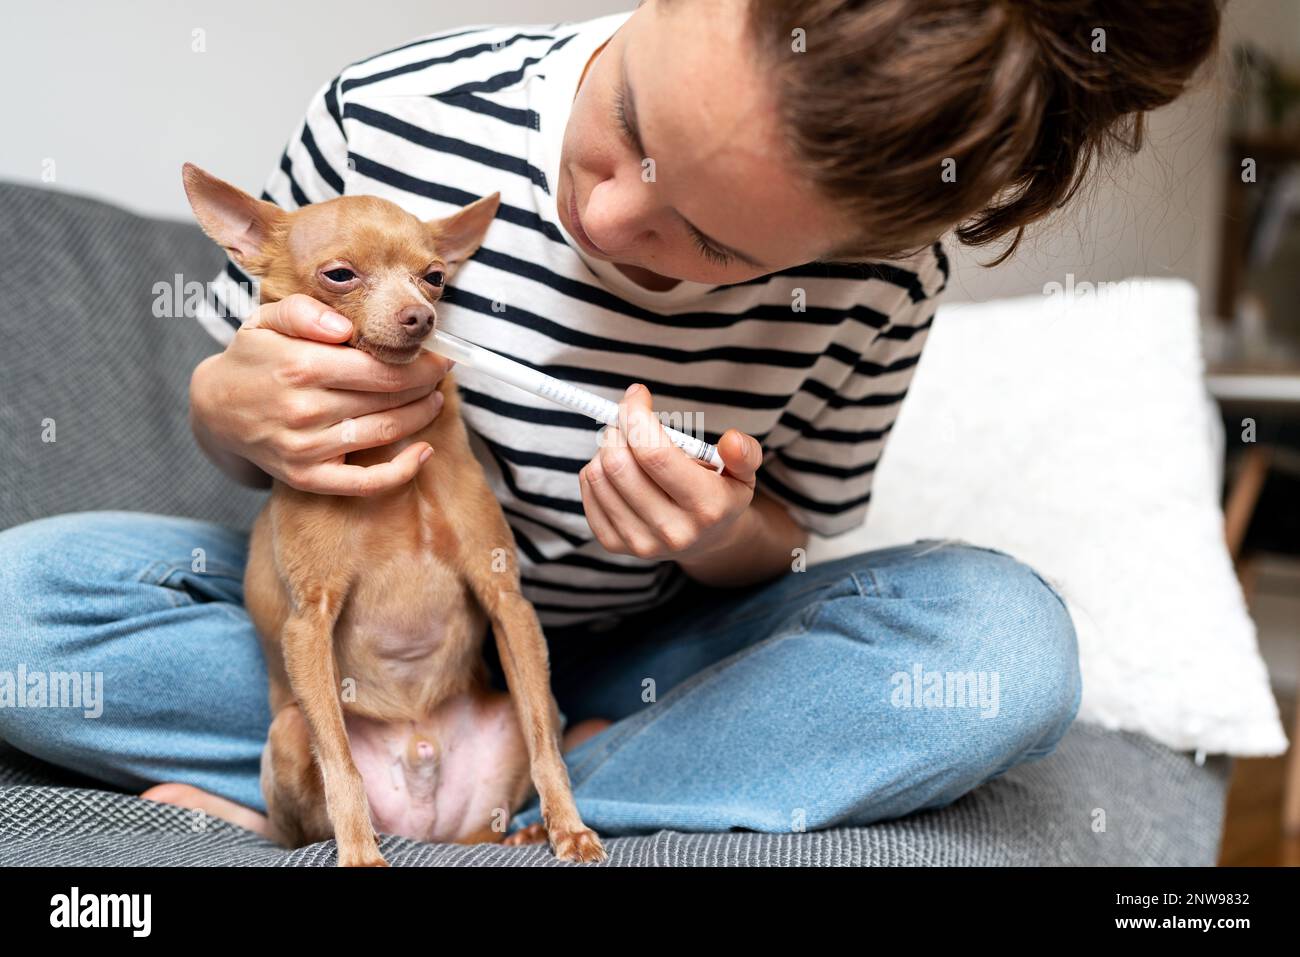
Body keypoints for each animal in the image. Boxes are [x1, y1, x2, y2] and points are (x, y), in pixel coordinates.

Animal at [182, 164, 603, 868]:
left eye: (434, 276)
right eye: (340, 275)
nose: (421, 316)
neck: (394, 457)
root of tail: (428, 826)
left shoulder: (507, 603)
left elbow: (547, 743)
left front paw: (568, 829)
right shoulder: (308, 626)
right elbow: (340, 763)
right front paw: (357, 852)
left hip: (500, 732)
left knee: (518, 755)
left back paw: (521, 832)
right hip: (290, 729)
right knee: (305, 808)